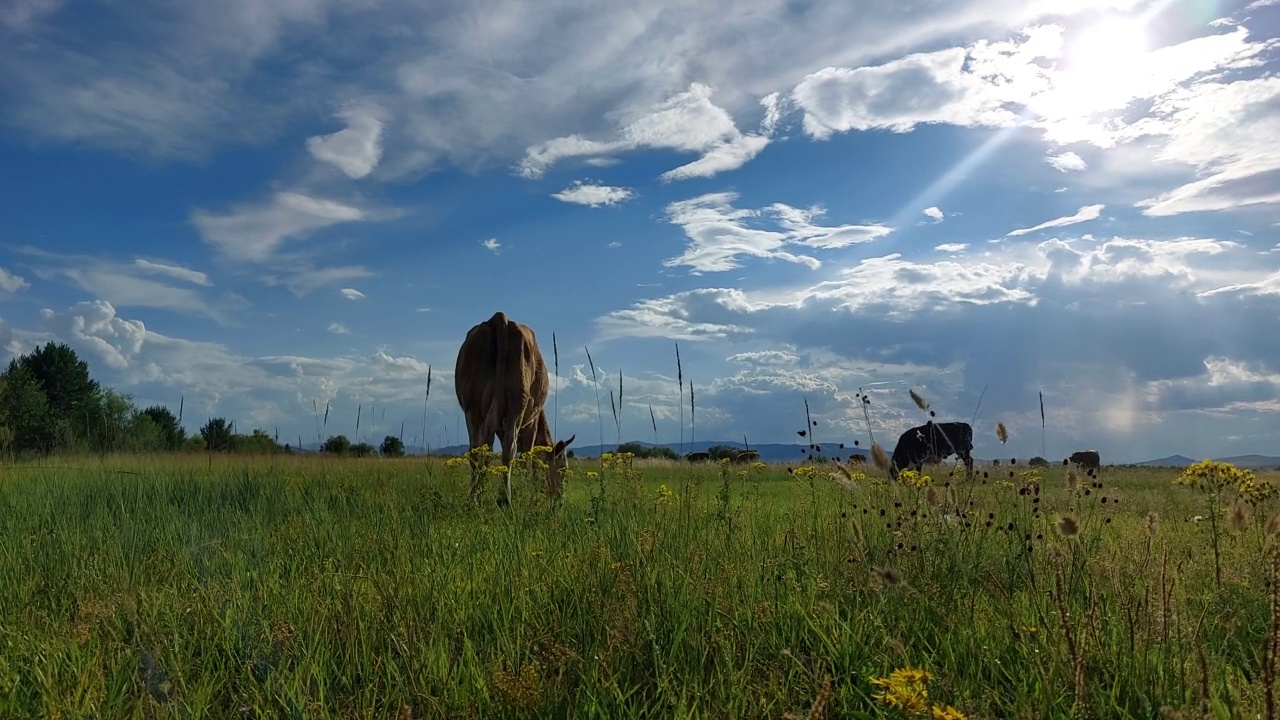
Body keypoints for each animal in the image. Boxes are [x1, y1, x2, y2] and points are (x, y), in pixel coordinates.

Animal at [455, 310, 576, 504]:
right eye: (562, 469)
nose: (560, 501)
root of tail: (500, 318)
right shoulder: (531, 424)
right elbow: (528, 456)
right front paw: (529, 491)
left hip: (472, 406)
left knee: (478, 449)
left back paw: (475, 497)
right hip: (518, 401)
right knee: (509, 448)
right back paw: (505, 499)